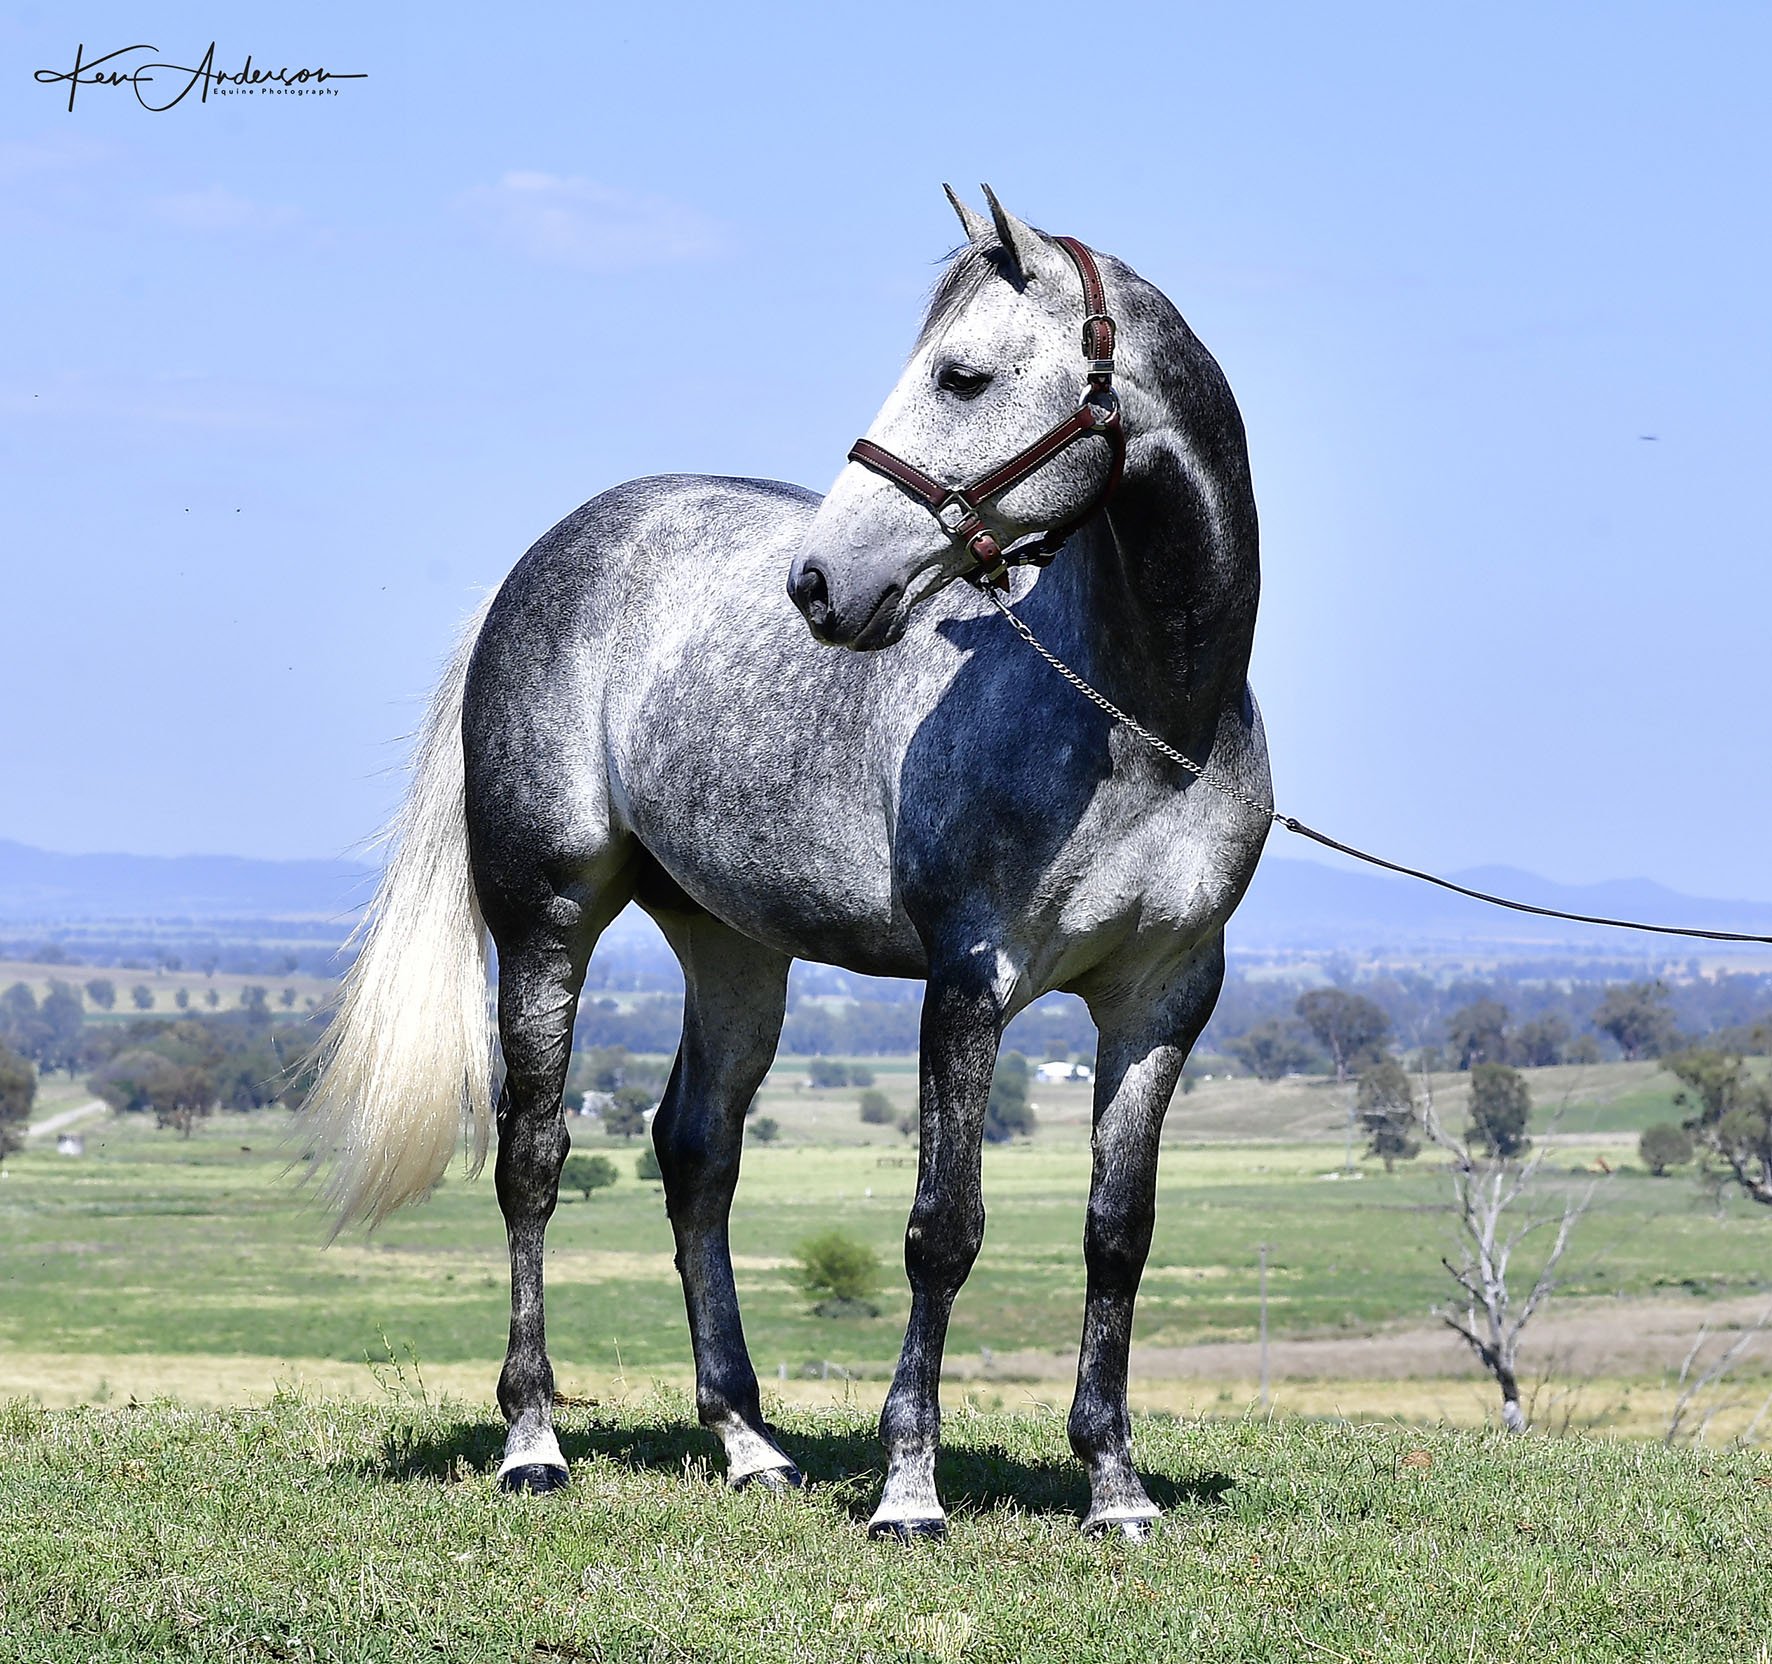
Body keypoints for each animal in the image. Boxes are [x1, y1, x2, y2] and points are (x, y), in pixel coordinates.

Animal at [305, 186, 1271, 1540]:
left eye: (961, 374)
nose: (818, 584)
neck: (1140, 718)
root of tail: (541, 561)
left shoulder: (1162, 999)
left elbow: (1115, 1235)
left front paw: (1113, 1484)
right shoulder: (968, 985)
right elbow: (942, 1228)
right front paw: (908, 1488)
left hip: (732, 948)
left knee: (694, 1153)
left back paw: (747, 1440)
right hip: (546, 918)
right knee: (533, 1159)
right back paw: (532, 1440)